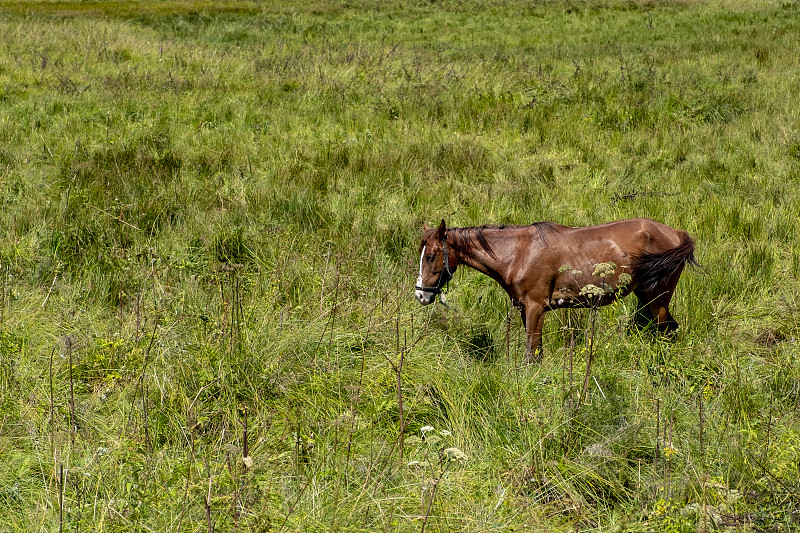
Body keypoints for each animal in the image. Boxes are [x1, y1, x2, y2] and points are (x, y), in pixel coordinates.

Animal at [416, 216, 696, 362]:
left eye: (430, 256)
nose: (421, 294)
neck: (518, 253)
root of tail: (676, 233)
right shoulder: (526, 310)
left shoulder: (535, 308)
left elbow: (531, 353)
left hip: (658, 299)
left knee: (667, 331)